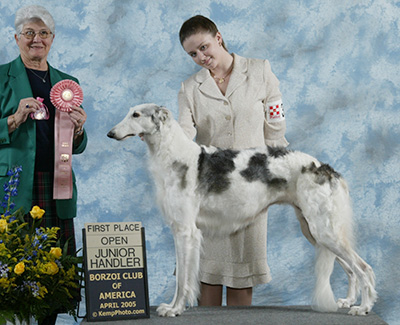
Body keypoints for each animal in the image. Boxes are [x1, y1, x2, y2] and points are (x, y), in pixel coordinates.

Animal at [106, 102, 376, 316]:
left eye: (136, 114)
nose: (110, 133)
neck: (174, 155)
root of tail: (326, 168)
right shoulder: (179, 230)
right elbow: (182, 275)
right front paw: (172, 307)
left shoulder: (186, 231)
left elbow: (183, 279)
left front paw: (176, 309)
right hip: (315, 231)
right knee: (351, 270)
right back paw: (348, 301)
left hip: (323, 231)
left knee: (364, 268)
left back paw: (363, 307)